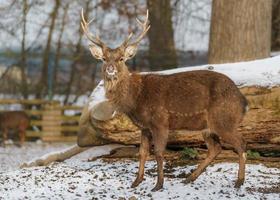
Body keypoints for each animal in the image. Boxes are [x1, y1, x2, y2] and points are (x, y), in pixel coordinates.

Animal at [80, 9, 247, 191]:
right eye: (103, 58)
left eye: (121, 58)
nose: (110, 69)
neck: (136, 98)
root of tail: (243, 100)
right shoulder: (144, 127)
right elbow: (142, 153)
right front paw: (136, 182)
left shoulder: (160, 121)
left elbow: (159, 152)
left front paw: (158, 185)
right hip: (208, 127)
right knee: (216, 148)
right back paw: (189, 178)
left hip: (224, 119)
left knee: (240, 144)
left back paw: (239, 181)